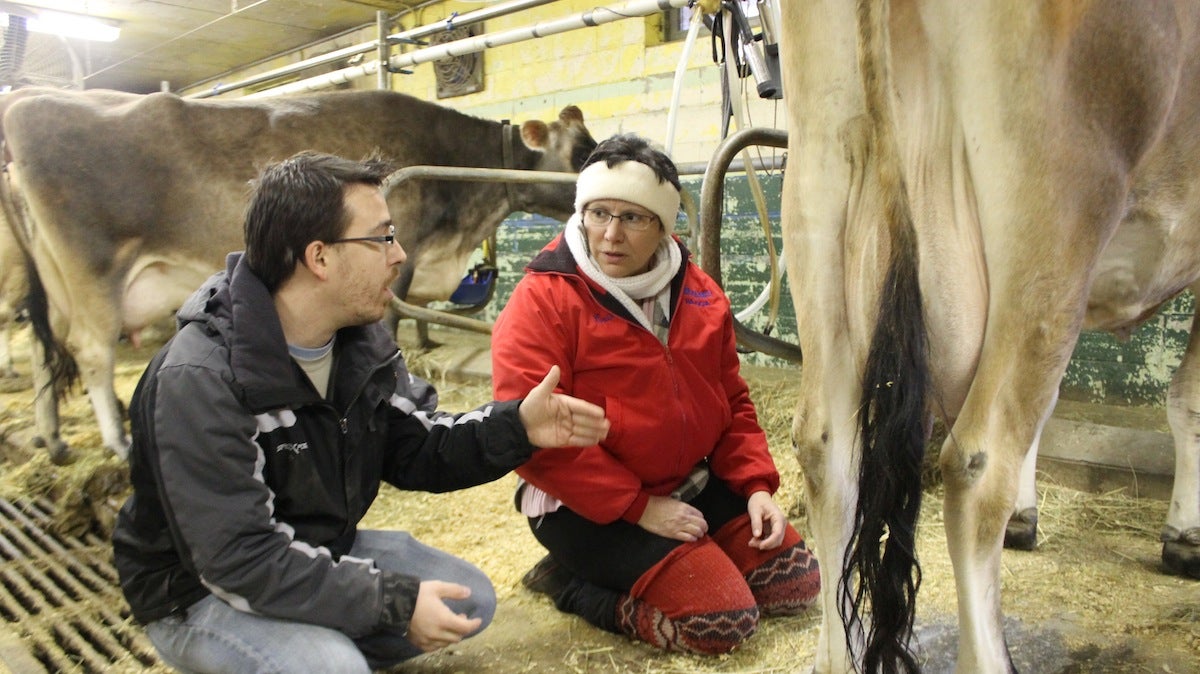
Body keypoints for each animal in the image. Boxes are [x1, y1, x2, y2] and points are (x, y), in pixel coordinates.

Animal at [3, 88, 595, 460]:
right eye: (581, 151)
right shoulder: (398, 252)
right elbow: (390, 327)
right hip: (94, 273)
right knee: (91, 350)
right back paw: (118, 442)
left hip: (54, 286)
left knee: (43, 350)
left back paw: (53, 440)